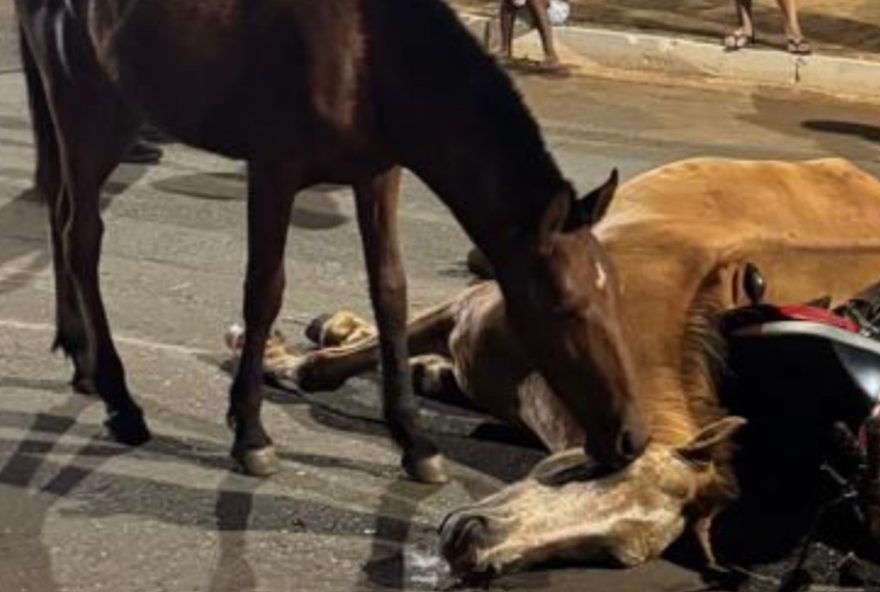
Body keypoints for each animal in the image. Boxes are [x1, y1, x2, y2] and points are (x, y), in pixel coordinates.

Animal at [14, 0, 647, 481]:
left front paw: (413, 439)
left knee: (63, 216)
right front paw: (250, 432)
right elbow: (264, 293)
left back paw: (81, 357)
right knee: (80, 235)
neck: (367, 53)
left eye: (616, 293)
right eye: (565, 307)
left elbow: (390, 293)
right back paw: (120, 399)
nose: (633, 439)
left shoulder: (377, 175)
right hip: (90, 112)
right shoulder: (274, 171)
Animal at [246, 157, 880, 575]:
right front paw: (278, 360)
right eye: (591, 469)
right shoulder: (471, 304)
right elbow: (343, 360)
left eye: (607, 553)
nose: (474, 546)